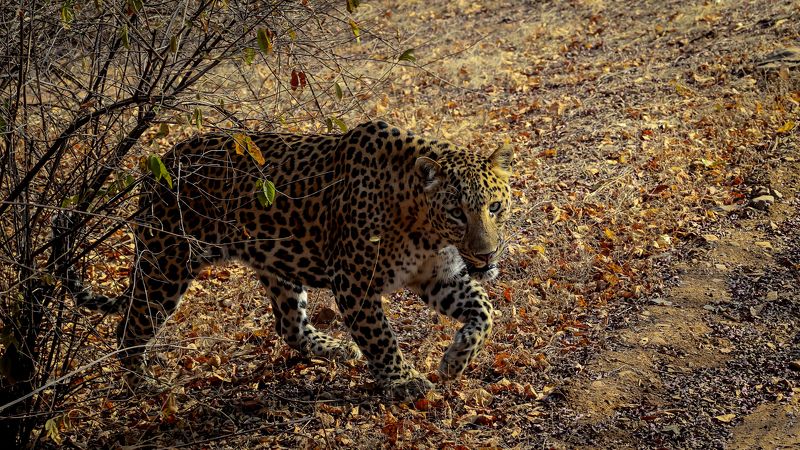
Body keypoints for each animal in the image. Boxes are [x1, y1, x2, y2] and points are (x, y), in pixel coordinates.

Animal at [57, 120, 512, 399]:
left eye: (494, 206)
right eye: (458, 212)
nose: (487, 253)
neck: (425, 228)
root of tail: (156, 167)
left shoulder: (441, 277)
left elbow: (485, 311)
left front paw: (454, 360)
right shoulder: (354, 282)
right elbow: (381, 337)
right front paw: (403, 382)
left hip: (277, 266)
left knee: (289, 325)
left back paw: (333, 348)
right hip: (165, 263)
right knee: (129, 328)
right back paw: (147, 387)